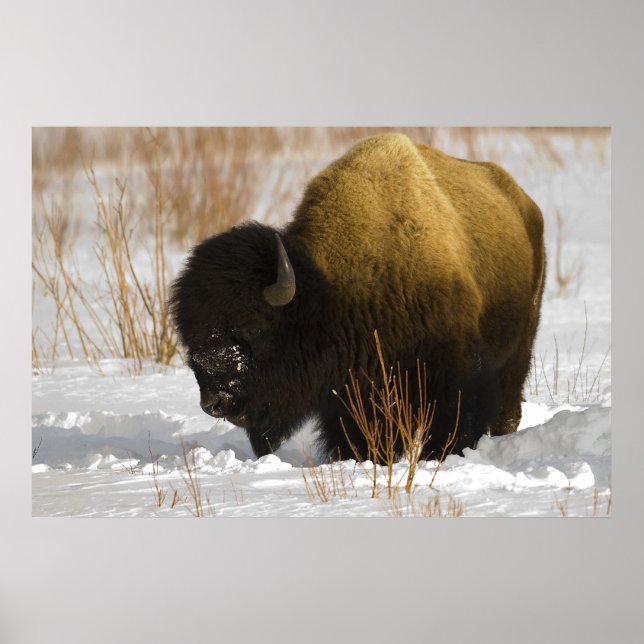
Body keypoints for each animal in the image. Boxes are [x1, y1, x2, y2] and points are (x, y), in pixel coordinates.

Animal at [170, 133, 545, 461]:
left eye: (253, 327)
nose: (214, 403)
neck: (335, 290)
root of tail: (525, 204)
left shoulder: (456, 374)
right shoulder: (351, 395)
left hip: (519, 348)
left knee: (508, 406)